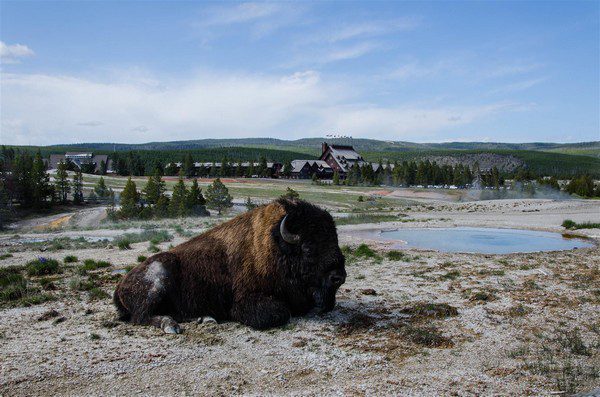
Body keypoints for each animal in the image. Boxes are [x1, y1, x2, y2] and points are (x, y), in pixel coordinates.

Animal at [113, 197, 346, 332]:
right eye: (307, 247)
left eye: (335, 239)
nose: (339, 277)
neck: (276, 245)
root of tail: (121, 283)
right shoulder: (246, 300)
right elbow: (280, 313)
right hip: (158, 279)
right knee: (141, 316)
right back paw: (171, 326)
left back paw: (205, 318)